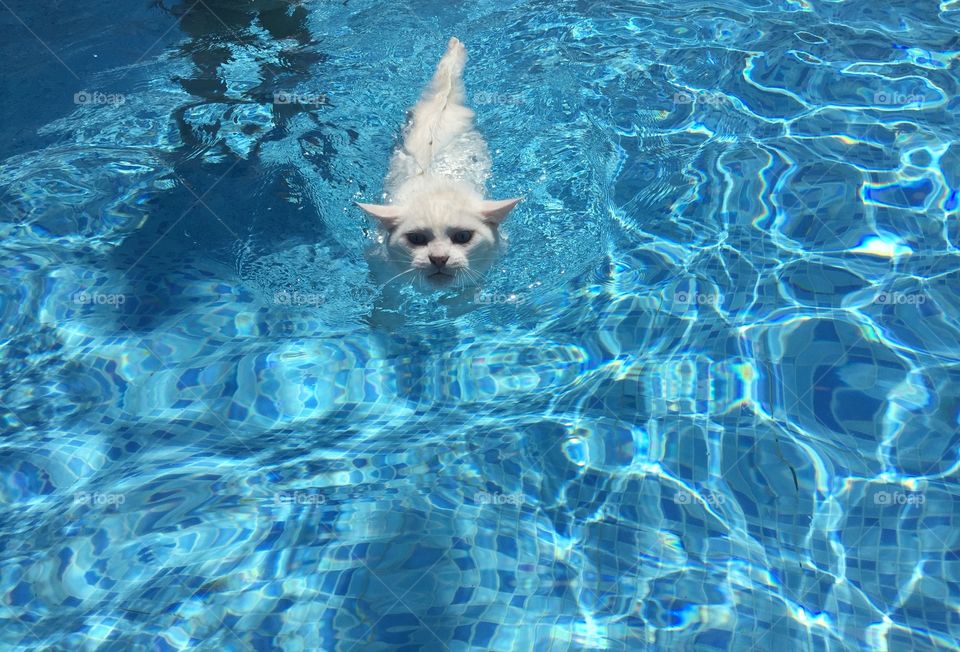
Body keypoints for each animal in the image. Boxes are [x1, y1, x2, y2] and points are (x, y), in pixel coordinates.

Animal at [358, 37, 520, 290]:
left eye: (463, 237)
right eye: (416, 238)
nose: (439, 258)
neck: (435, 185)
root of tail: (444, 101)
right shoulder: (380, 267)